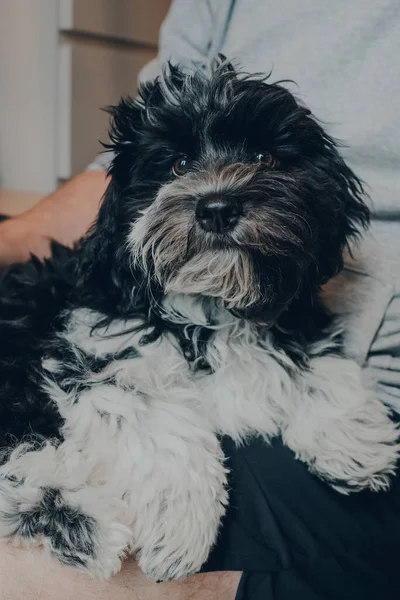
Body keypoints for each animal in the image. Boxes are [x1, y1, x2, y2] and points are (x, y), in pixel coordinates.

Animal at [0, 61, 400, 580]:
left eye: (264, 156)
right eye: (178, 165)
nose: (218, 207)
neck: (215, 305)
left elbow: (321, 360)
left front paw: (353, 440)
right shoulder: (95, 353)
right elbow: (159, 423)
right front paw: (181, 525)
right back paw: (82, 524)